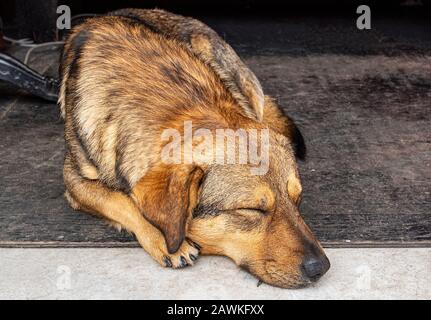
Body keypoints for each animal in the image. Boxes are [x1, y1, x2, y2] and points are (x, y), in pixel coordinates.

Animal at [60, 8, 330, 288]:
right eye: (252, 209)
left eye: (297, 199)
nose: (321, 267)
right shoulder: (74, 180)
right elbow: (123, 202)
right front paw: (164, 240)